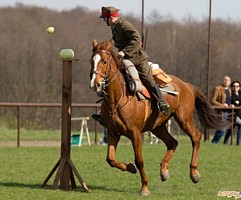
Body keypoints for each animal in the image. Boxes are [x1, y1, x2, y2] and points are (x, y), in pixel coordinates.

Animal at [89, 38, 226, 195]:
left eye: (104, 61)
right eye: (91, 61)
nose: (95, 84)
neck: (117, 99)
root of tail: (186, 85)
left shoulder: (135, 133)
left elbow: (139, 160)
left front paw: (144, 187)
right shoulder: (113, 133)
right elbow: (110, 159)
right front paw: (130, 168)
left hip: (184, 119)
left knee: (196, 137)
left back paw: (194, 173)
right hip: (157, 127)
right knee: (172, 142)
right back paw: (164, 171)